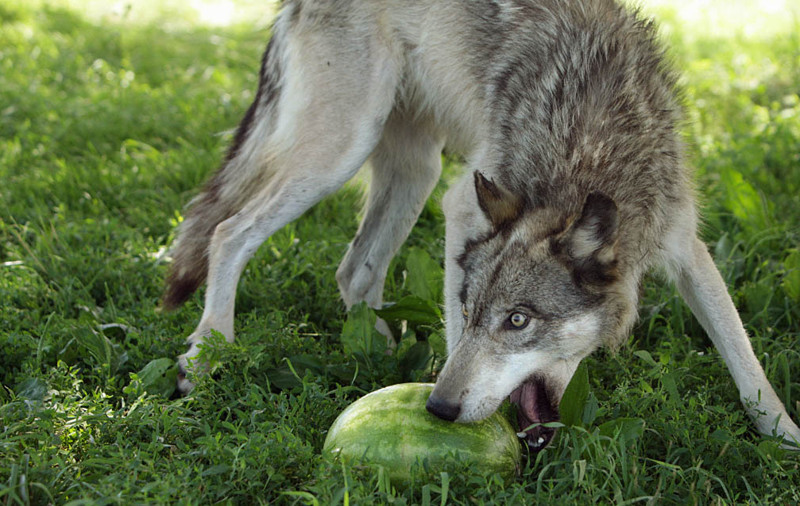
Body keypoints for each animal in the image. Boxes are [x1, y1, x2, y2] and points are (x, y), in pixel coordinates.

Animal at [162, 0, 800, 450]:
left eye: (518, 321)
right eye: (470, 311)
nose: (437, 409)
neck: (588, 148)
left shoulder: (683, 244)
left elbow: (745, 359)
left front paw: (783, 437)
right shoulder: (461, 207)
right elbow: (453, 338)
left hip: (413, 172)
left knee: (352, 271)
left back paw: (377, 354)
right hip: (341, 154)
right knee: (228, 232)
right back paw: (207, 353)